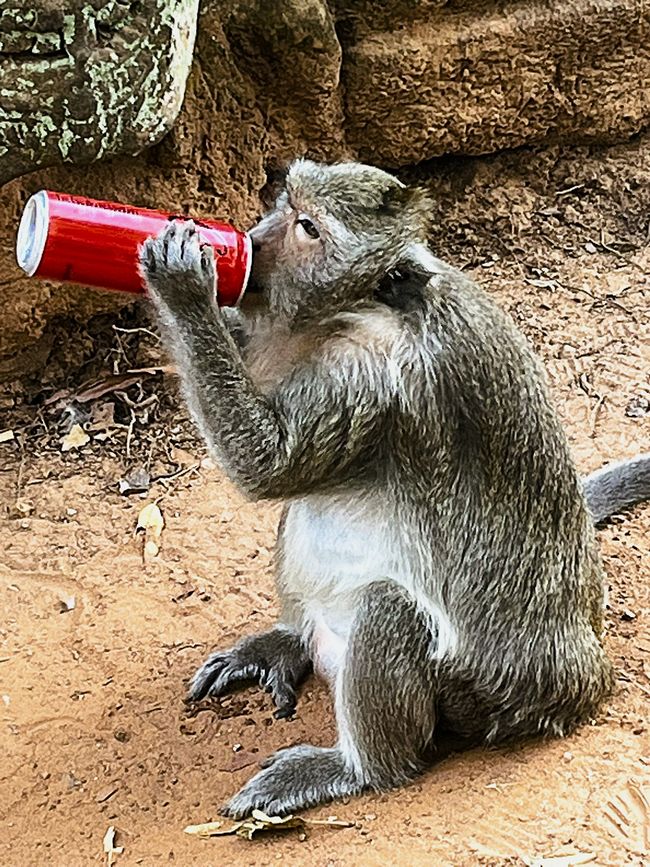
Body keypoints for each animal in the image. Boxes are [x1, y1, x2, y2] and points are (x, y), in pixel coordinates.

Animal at [139, 159, 650, 819]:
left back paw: (357, 768)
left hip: (470, 700)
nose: (252, 240)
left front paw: (182, 288)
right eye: (285, 203)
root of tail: (577, 684)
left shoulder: (370, 373)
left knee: (389, 609)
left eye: (307, 228)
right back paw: (289, 642)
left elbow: (267, 464)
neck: (363, 305)